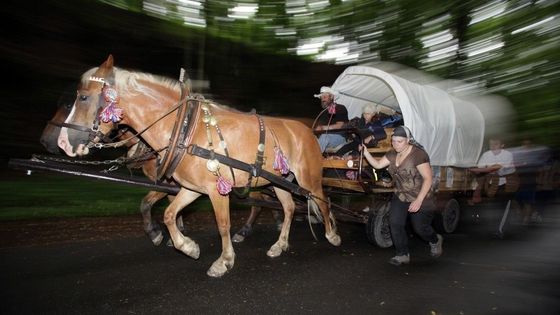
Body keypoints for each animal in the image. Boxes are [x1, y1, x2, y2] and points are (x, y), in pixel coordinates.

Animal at [57, 55, 342, 278]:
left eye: (83, 97)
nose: (62, 142)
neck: (184, 128)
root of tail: (307, 130)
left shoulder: (217, 190)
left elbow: (223, 225)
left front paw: (223, 261)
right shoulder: (192, 188)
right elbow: (169, 215)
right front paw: (187, 246)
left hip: (308, 178)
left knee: (323, 201)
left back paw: (332, 234)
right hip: (278, 179)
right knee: (290, 207)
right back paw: (279, 245)